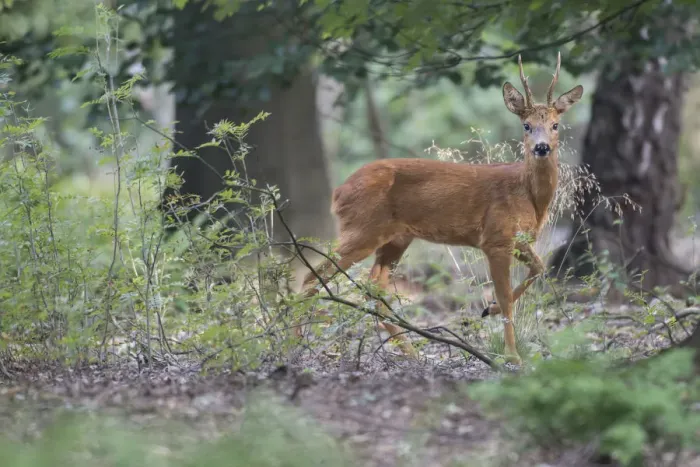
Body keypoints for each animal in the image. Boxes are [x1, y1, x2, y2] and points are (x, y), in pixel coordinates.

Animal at [294, 52, 583, 365]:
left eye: (555, 125)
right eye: (526, 125)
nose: (541, 148)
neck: (528, 195)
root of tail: (338, 193)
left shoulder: (518, 239)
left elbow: (539, 268)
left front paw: (490, 311)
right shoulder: (495, 238)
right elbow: (506, 296)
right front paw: (511, 355)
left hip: (396, 238)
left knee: (373, 289)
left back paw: (412, 352)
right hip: (362, 229)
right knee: (311, 277)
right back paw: (293, 344)